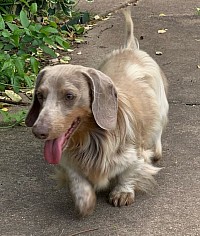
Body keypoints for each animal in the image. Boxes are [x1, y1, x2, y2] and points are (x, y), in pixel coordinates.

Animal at [25, 8, 169, 216]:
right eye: (39, 95)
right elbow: (77, 179)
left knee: (157, 131)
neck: (91, 138)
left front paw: (122, 192)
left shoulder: (136, 154)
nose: (39, 132)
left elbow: (130, 171)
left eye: (69, 96)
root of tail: (130, 47)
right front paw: (84, 200)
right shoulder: (68, 161)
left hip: (161, 107)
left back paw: (157, 151)